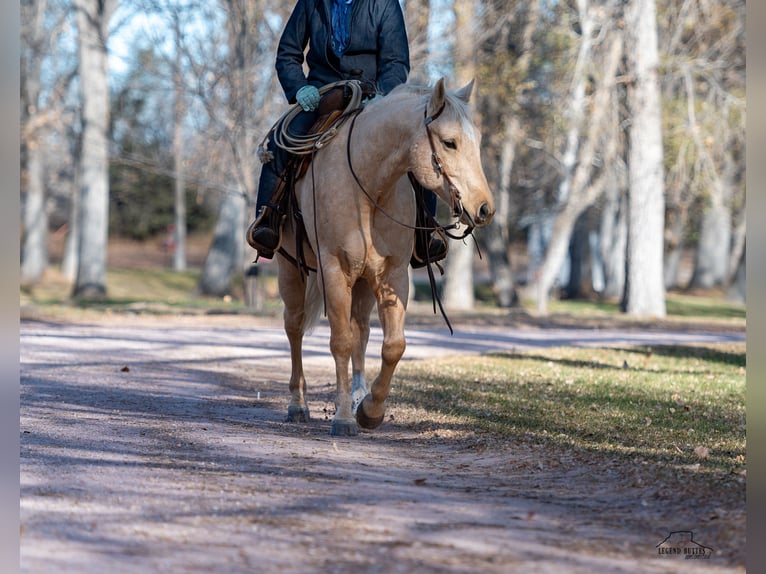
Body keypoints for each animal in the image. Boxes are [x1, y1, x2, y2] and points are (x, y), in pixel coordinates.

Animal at [272, 76, 496, 436]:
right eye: (449, 142)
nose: (484, 208)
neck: (367, 187)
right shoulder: (334, 270)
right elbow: (340, 342)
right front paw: (344, 418)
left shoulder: (392, 275)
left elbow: (392, 345)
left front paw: (369, 410)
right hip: (289, 270)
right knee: (294, 328)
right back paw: (298, 403)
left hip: (362, 282)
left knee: (361, 330)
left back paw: (357, 394)